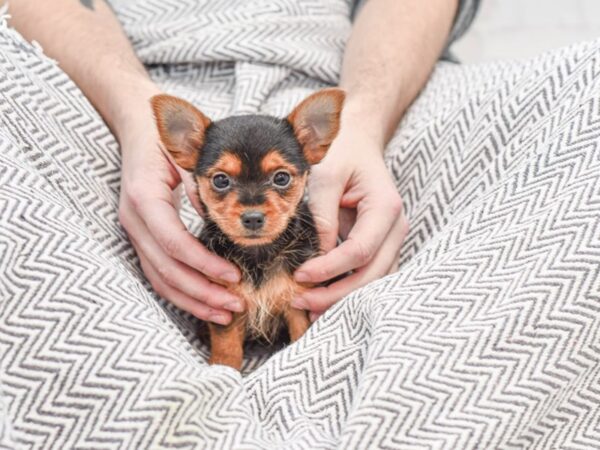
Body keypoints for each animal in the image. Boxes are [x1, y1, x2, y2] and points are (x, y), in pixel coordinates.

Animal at [150, 88, 344, 370]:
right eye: (221, 180)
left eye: (281, 178)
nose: (253, 218)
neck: (258, 255)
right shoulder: (225, 304)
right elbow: (227, 346)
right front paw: (224, 371)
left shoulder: (298, 301)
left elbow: (301, 337)